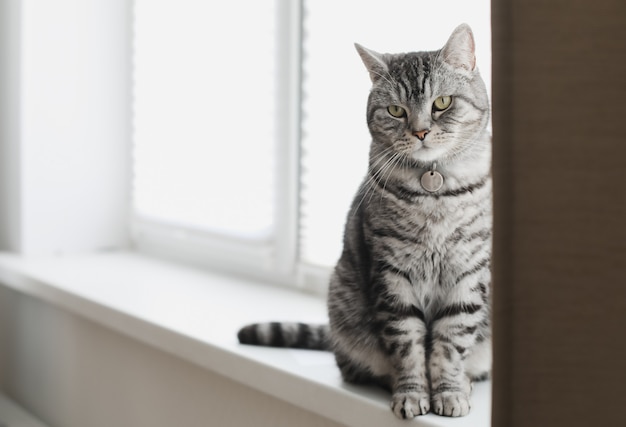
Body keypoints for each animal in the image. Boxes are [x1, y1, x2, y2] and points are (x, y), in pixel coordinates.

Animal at [236, 22, 490, 418]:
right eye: (396, 110)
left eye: (442, 103)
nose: (420, 132)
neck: (434, 191)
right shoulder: (393, 275)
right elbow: (408, 345)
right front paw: (412, 394)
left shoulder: (467, 272)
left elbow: (450, 343)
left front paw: (449, 391)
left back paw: (465, 381)